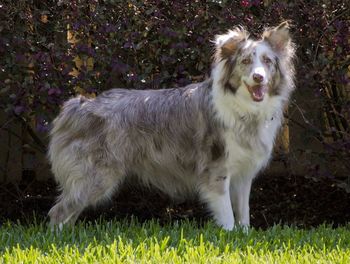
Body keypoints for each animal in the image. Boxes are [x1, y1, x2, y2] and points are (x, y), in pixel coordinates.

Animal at [48, 21, 296, 230]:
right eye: (245, 61)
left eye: (267, 62)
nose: (258, 77)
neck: (245, 109)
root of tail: (79, 105)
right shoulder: (216, 171)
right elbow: (227, 217)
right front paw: (229, 237)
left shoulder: (244, 174)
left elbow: (243, 214)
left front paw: (244, 235)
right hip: (96, 176)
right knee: (58, 212)